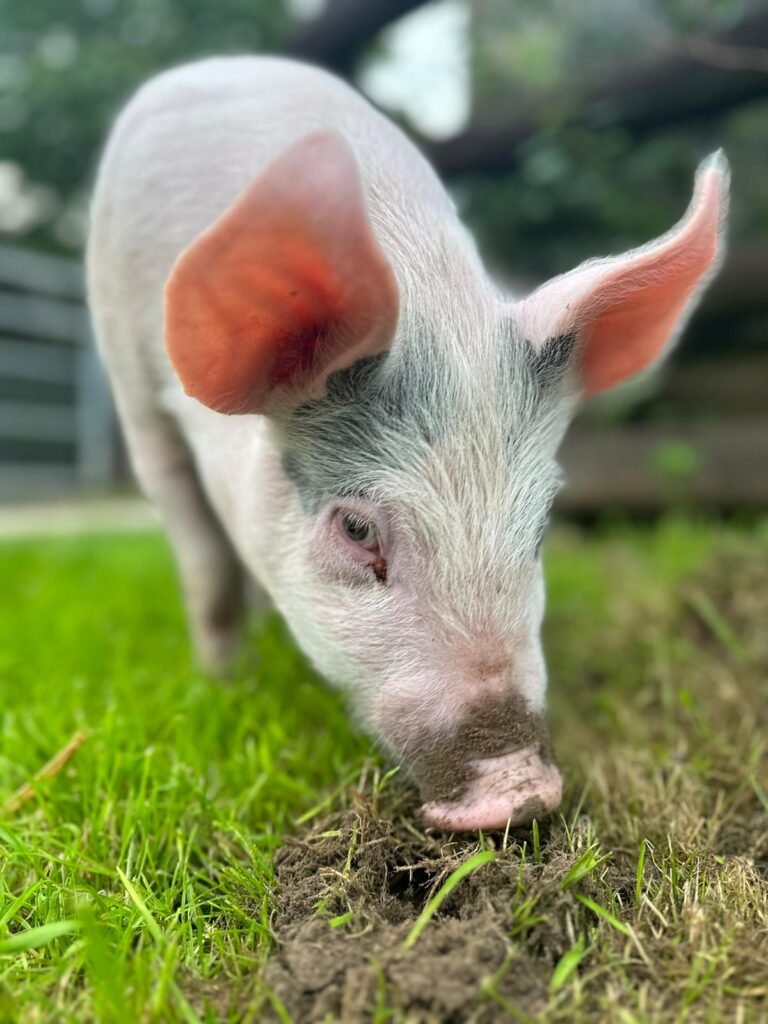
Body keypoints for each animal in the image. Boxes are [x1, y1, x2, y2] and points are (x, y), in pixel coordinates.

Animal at [87, 57, 728, 831]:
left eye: (542, 524)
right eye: (357, 529)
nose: (519, 791)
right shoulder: (147, 419)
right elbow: (206, 570)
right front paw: (224, 686)